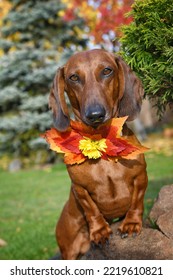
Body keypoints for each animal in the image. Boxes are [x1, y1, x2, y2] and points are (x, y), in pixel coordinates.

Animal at [49, 48, 148, 260]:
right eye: (74, 77)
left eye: (107, 71)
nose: (95, 115)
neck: (101, 141)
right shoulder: (80, 189)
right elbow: (91, 210)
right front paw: (99, 231)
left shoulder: (140, 176)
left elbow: (137, 201)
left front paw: (131, 224)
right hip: (68, 251)